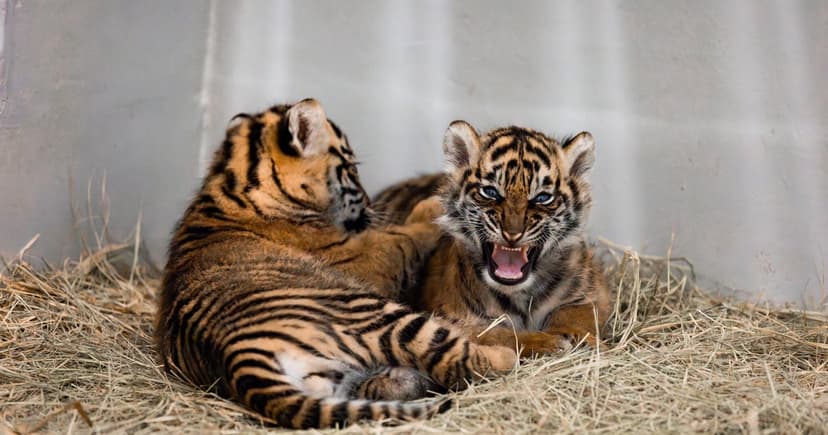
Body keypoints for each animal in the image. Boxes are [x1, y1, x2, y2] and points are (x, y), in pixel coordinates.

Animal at [154, 100, 516, 429]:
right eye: (351, 169)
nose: (369, 204)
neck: (231, 181)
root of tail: (236, 354)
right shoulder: (363, 257)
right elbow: (403, 236)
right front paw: (434, 205)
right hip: (375, 314)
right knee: (452, 357)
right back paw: (506, 357)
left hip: (331, 380)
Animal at [373, 121, 611, 356]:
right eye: (490, 192)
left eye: (542, 197)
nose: (512, 233)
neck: (521, 295)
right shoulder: (452, 319)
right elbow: (499, 335)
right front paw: (548, 343)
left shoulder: (591, 295)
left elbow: (576, 318)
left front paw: (583, 340)